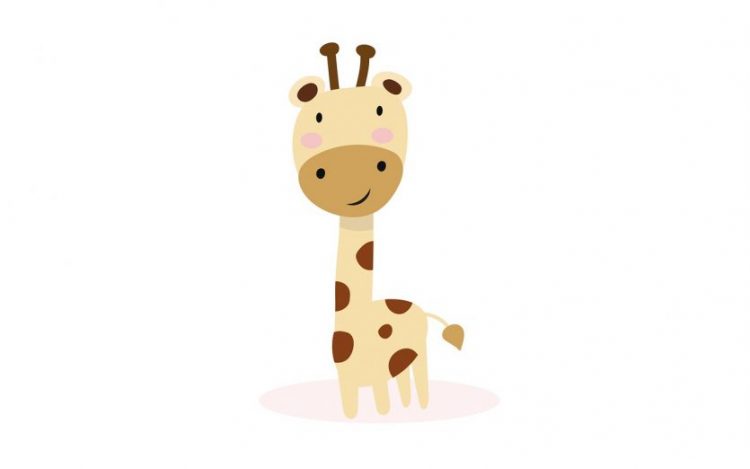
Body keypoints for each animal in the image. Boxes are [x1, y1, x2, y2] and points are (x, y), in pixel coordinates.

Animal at [288, 42, 464, 418]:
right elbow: (352, 408)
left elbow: (382, 406)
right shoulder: (347, 385)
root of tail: (411, 304)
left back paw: (420, 407)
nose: (345, 170)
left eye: (381, 110)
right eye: (317, 117)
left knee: (419, 380)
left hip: (419, 352)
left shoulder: (378, 378)